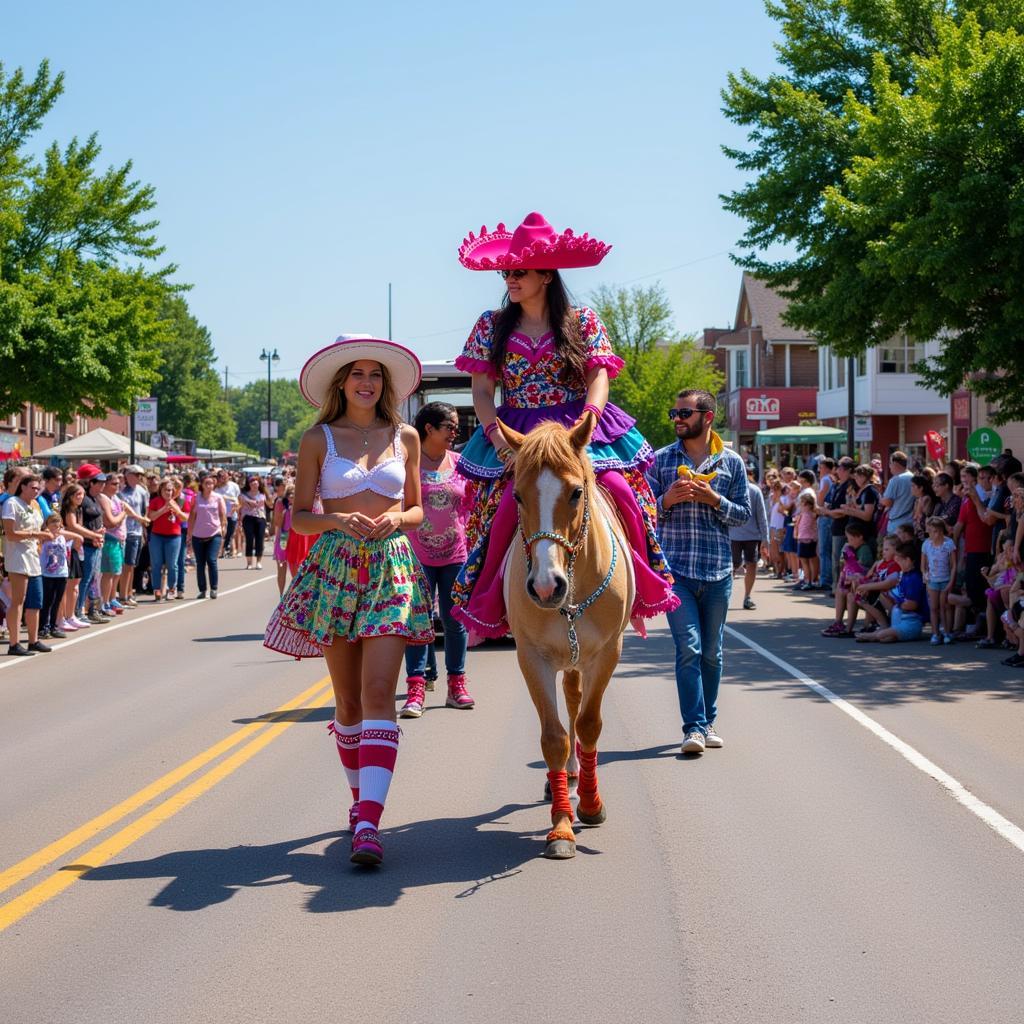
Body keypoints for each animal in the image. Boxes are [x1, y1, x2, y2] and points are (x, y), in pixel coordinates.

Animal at [495, 415, 630, 856]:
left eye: (575, 492)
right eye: (517, 496)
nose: (543, 587)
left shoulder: (607, 654)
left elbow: (588, 724)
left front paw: (590, 805)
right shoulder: (531, 657)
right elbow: (555, 738)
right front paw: (561, 826)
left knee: (576, 703)